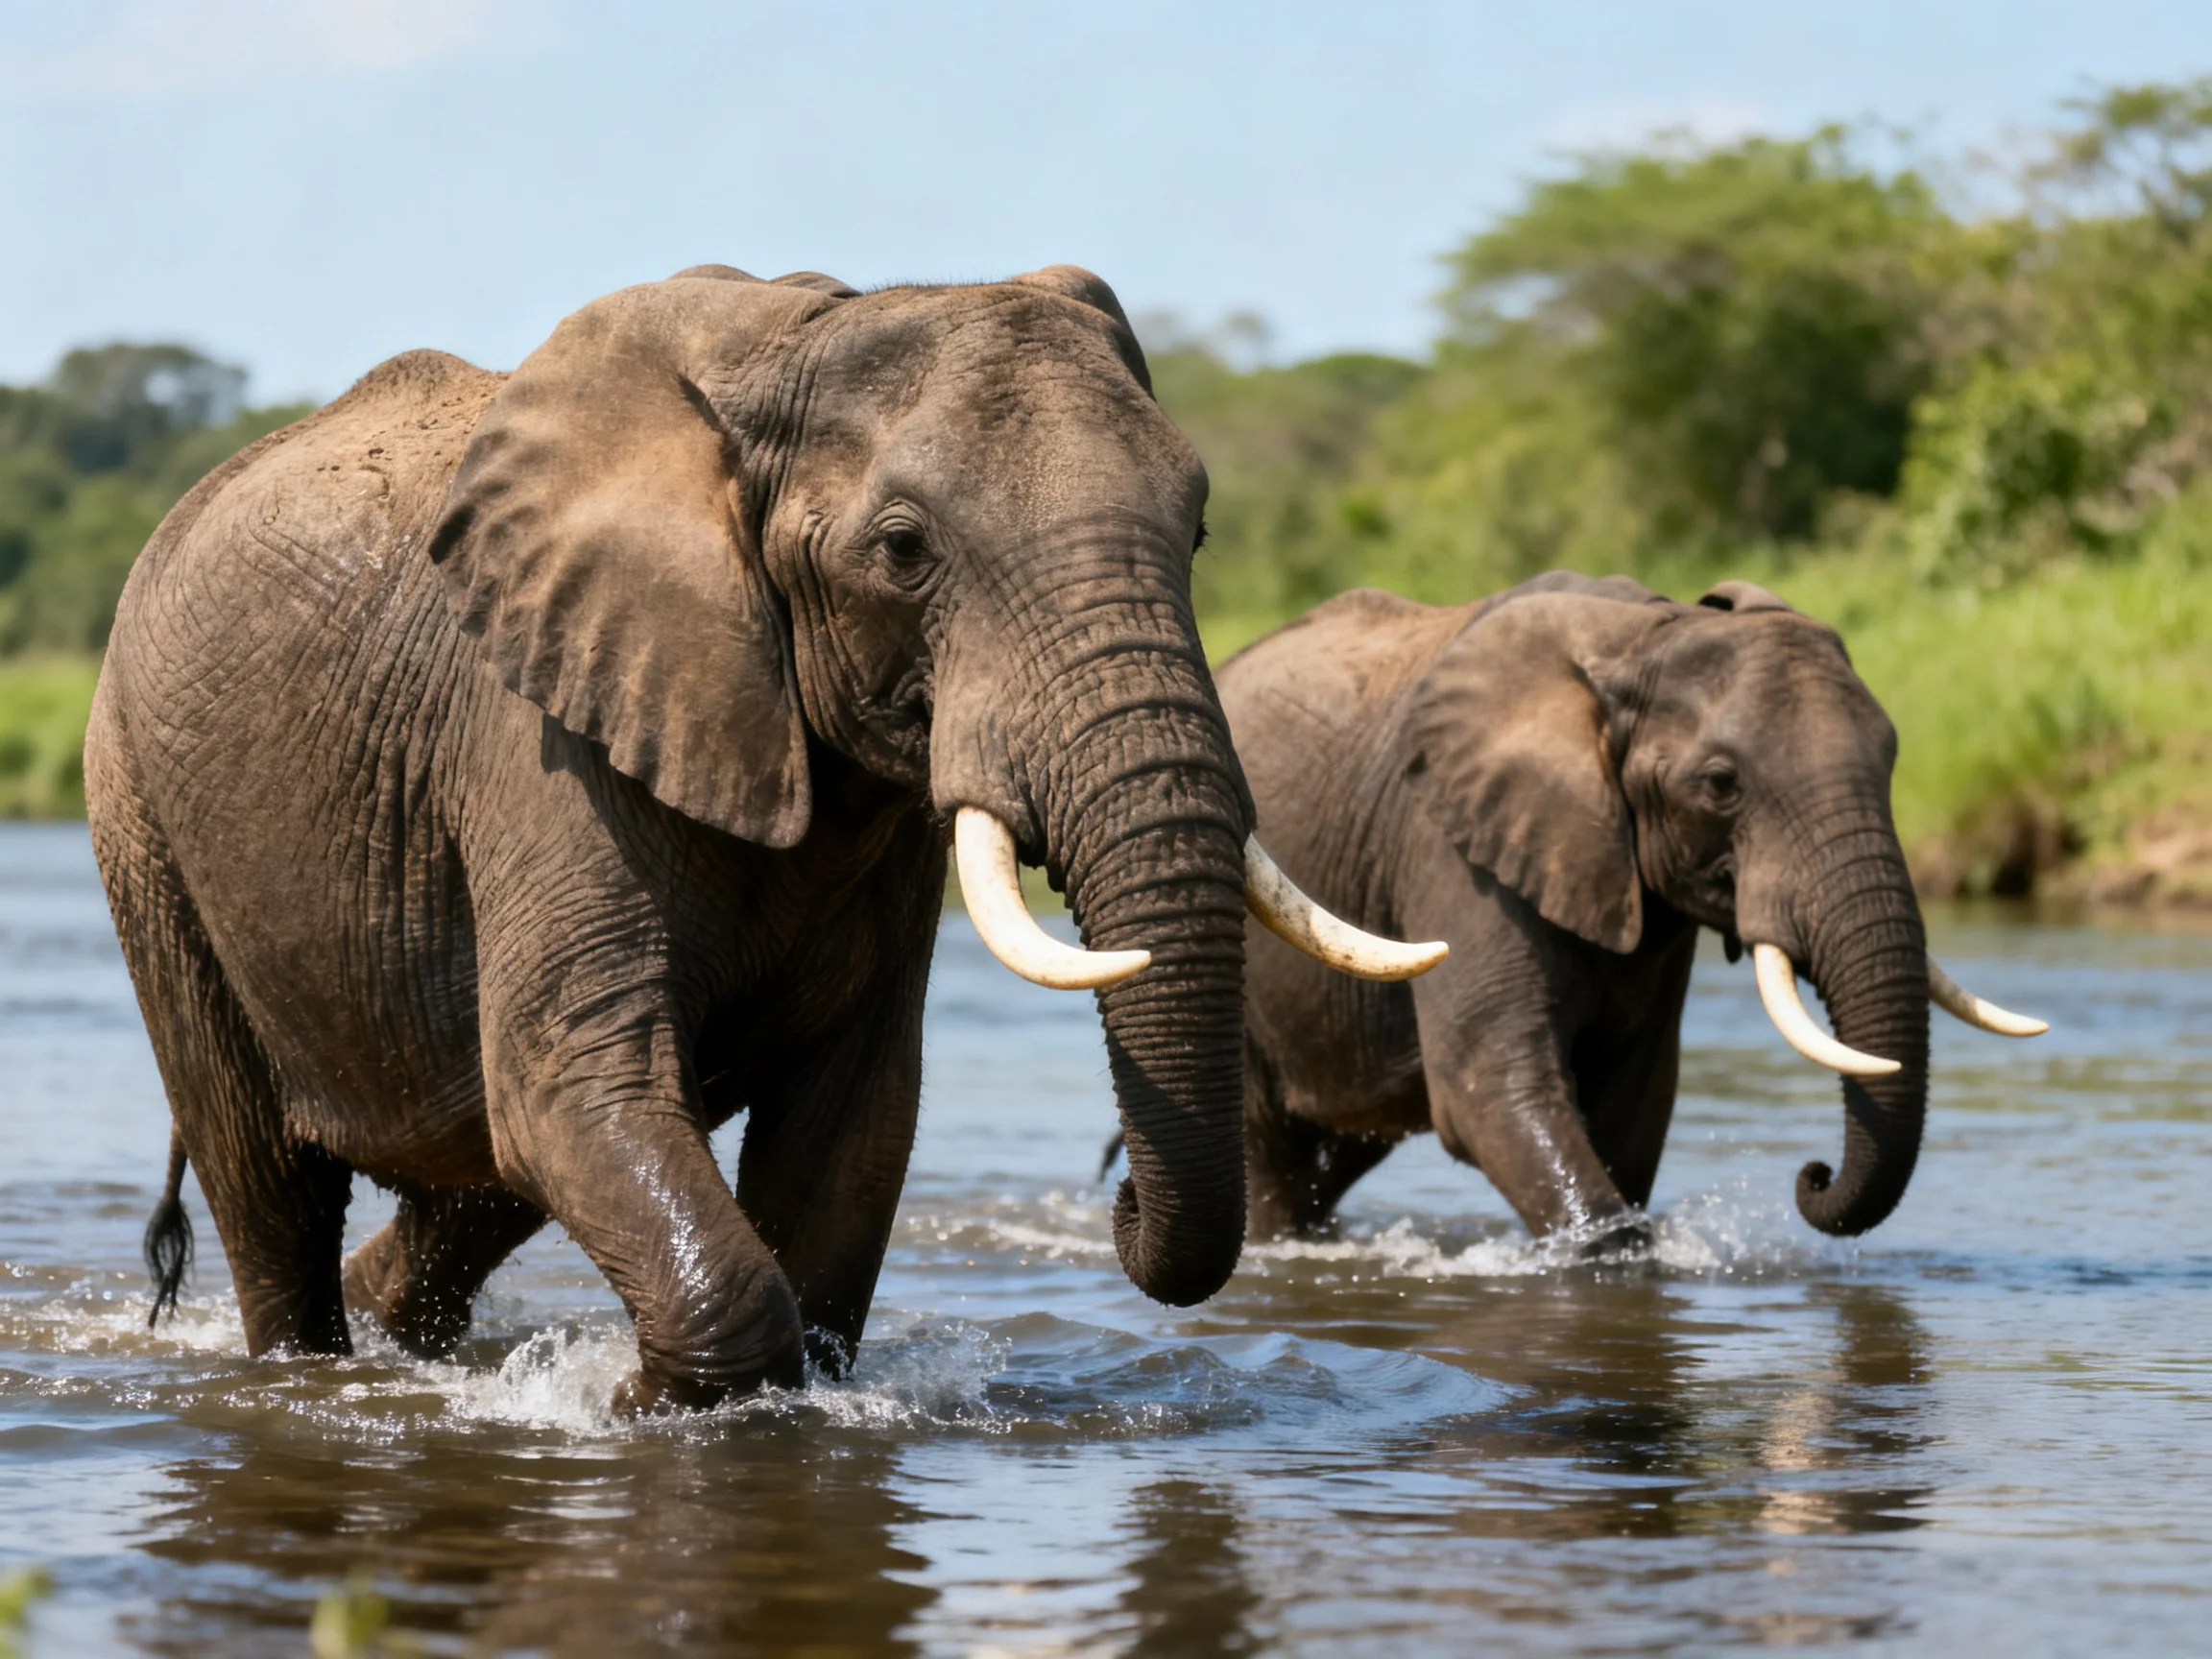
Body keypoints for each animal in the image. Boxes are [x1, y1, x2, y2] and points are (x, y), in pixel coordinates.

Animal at [85, 263, 1433, 1412]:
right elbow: (579, 1084)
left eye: (1197, 532)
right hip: (139, 819)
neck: (797, 345)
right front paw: (634, 1407)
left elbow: (849, 1124)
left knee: (474, 1184)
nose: (1116, 1207)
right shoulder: (542, 741)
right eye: (904, 548)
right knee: (274, 1186)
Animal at [1214, 571, 2045, 1244]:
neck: (1647, 636)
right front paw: (1605, 1251)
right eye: (1721, 784)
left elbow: (1635, 1101)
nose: (1810, 1175)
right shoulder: (1453, 852)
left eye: (1893, 758)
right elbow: (1488, 1088)